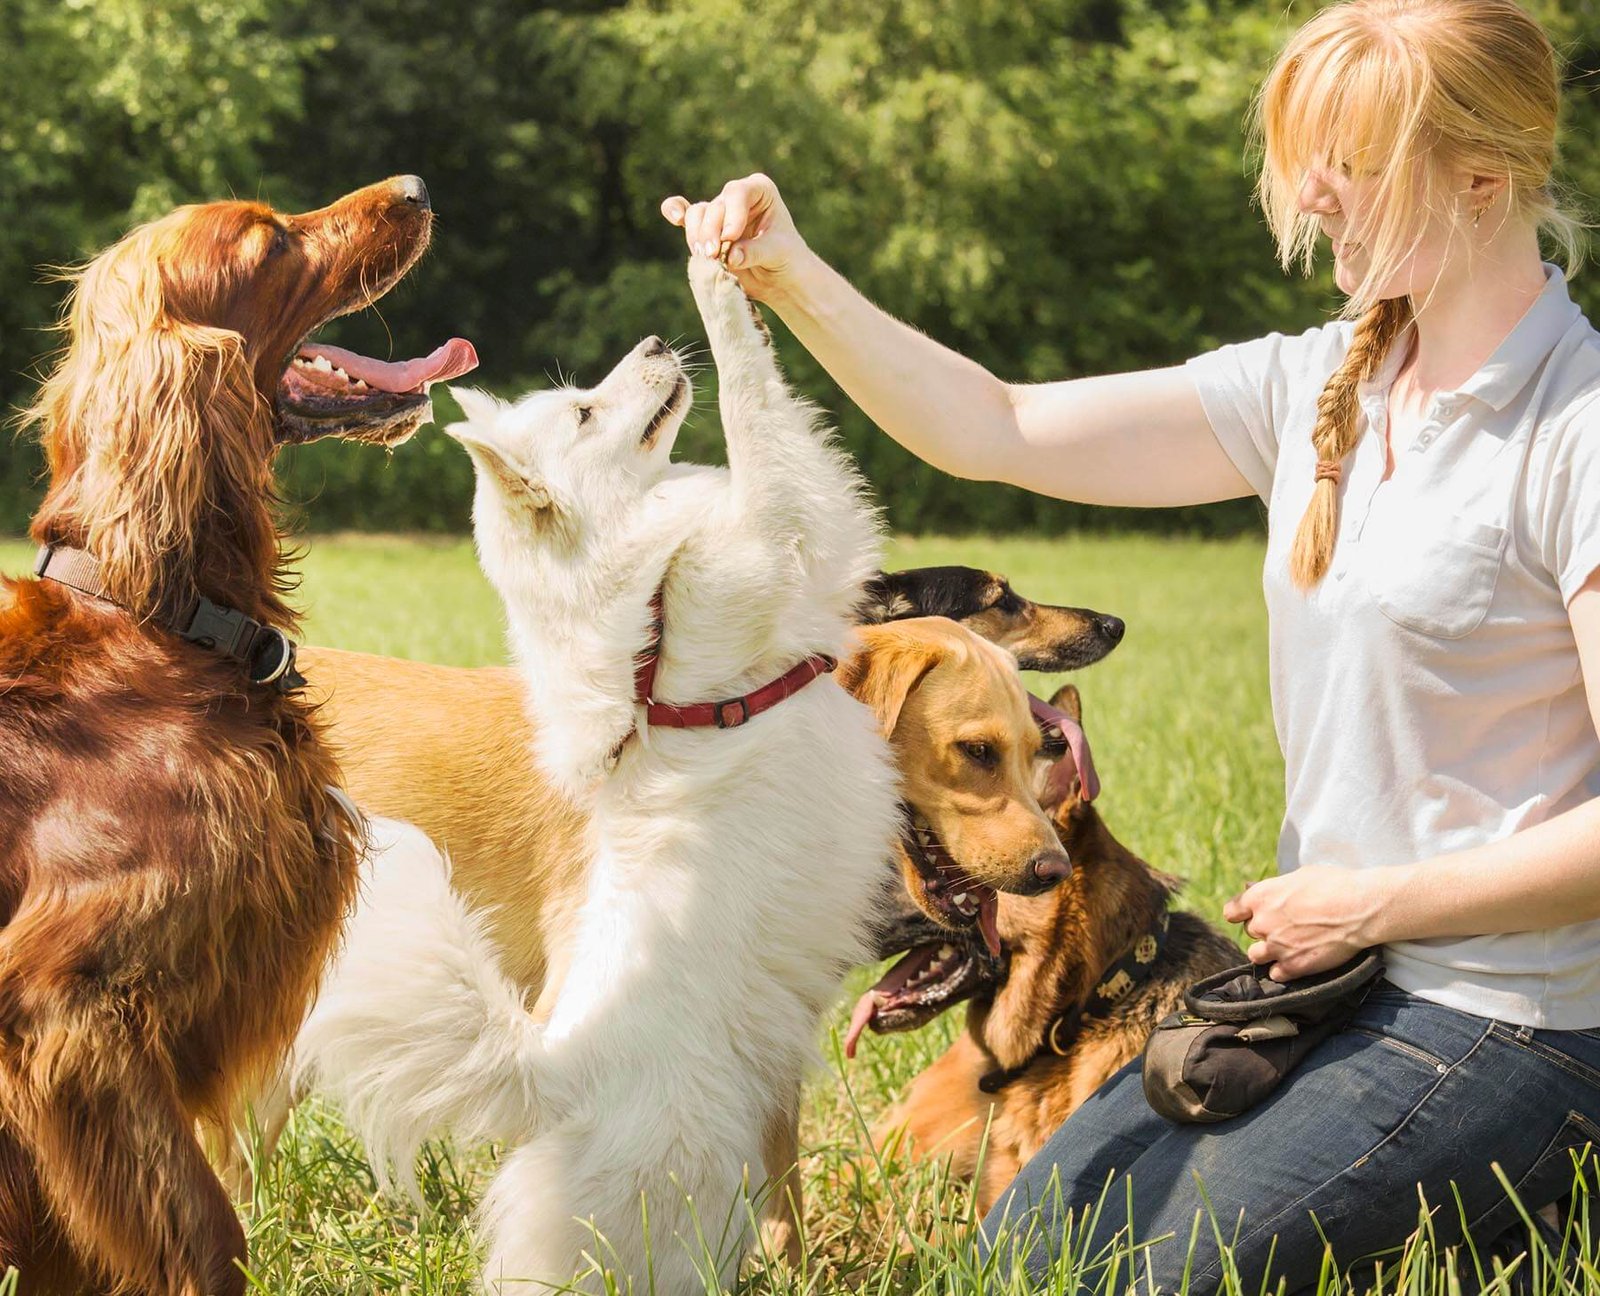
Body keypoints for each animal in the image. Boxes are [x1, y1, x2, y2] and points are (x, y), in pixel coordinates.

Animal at [297, 257, 902, 1286]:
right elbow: (755, 404)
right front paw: (716, 278)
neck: (649, 607)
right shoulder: (787, 524)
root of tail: (552, 1074)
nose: (654, 341)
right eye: (585, 411)